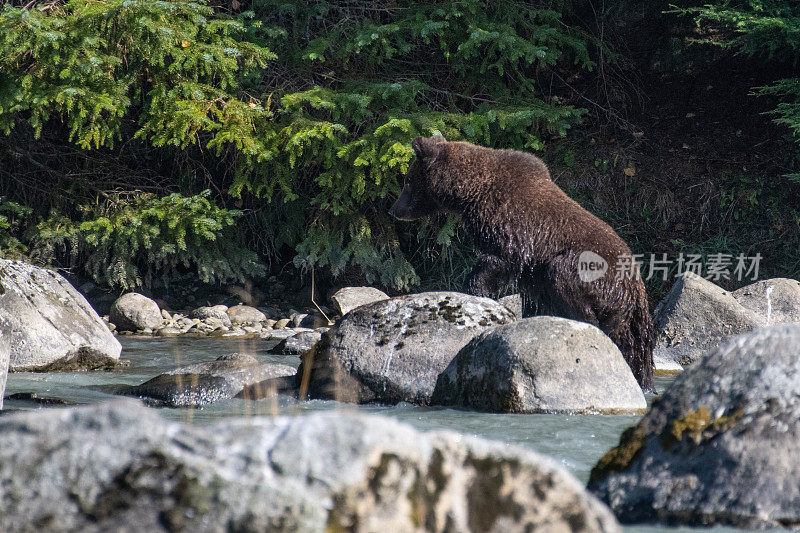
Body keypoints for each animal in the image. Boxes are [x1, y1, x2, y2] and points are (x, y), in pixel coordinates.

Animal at [390, 134, 656, 390]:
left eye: (408, 181)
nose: (394, 209)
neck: (469, 193)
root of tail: (637, 288)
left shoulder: (511, 222)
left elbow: (501, 259)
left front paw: (474, 289)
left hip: (594, 273)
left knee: (563, 279)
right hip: (630, 325)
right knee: (632, 350)